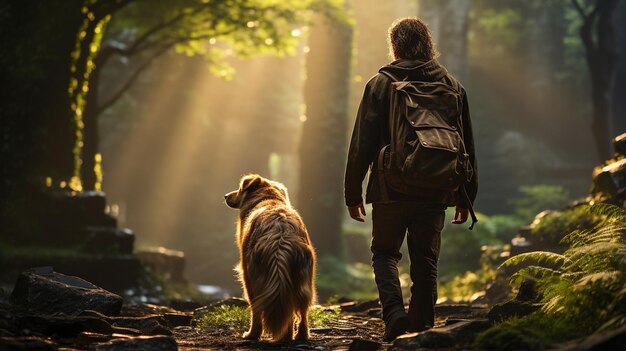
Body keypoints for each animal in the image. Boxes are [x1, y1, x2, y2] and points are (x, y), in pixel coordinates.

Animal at [223, 175, 314, 342]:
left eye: (239, 189)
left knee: (257, 309)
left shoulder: (246, 273)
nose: (226, 196)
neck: (269, 199)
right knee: (300, 311)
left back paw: (253, 334)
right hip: (304, 281)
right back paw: (296, 336)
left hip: (253, 278)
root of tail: (280, 233)